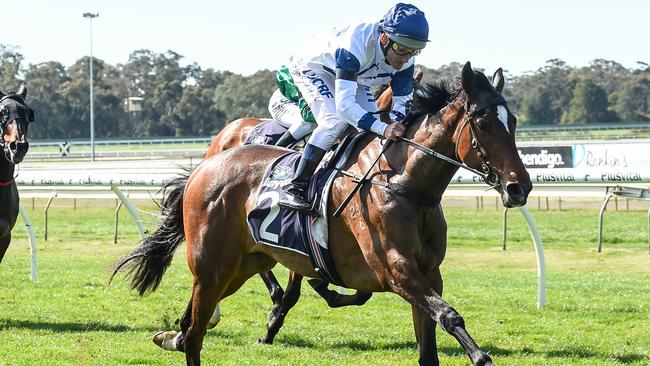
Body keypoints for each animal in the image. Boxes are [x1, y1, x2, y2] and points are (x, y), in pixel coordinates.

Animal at [114, 61, 528, 364]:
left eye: (513, 122)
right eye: (483, 122)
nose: (519, 187)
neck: (402, 183)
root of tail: (207, 164)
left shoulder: (428, 273)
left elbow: (427, 338)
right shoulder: (395, 270)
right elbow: (448, 315)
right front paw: (479, 355)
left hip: (240, 266)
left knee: (193, 323)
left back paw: (174, 334)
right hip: (214, 264)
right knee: (197, 329)